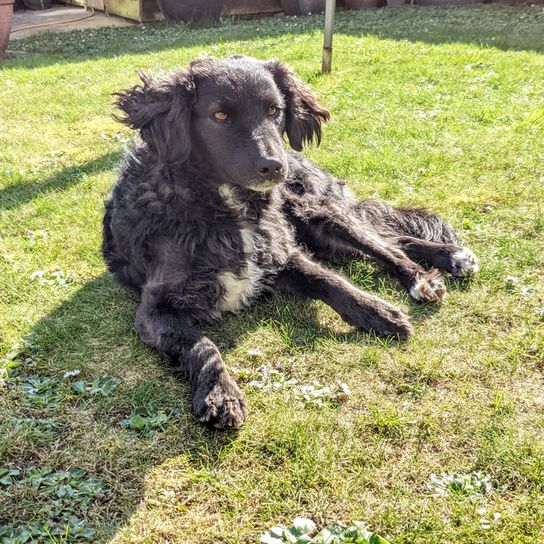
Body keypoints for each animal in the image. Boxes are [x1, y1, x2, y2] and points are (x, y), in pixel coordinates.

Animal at [102, 54, 476, 430]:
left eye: (274, 110)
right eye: (219, 116)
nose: (272, 166)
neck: (226, 207)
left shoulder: (282, 255)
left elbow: (330, 281)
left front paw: (377, 311)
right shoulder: (155, 309)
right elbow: (201, 345)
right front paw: (220, 392)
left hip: (314, 212)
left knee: (384, 243)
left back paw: (432, 270)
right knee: (391, 237)